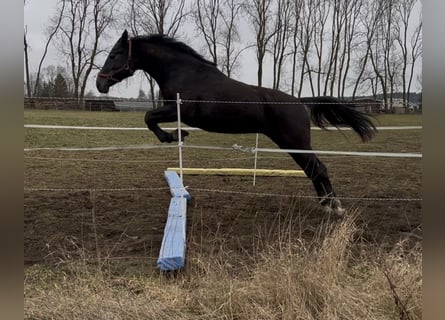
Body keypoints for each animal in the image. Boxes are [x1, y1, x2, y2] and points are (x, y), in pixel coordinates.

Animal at [96, 30, 374, 215]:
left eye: (115, 54)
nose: (100, 83)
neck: (184, 72)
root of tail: (300, 102)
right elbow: (149, 118)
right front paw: (176, 135)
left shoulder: (179, 111)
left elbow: (149, 117)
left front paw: (174, 135)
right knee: (313, 170)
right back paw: (327, 205)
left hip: (295, 142)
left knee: (319, 168)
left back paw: (335, 208)